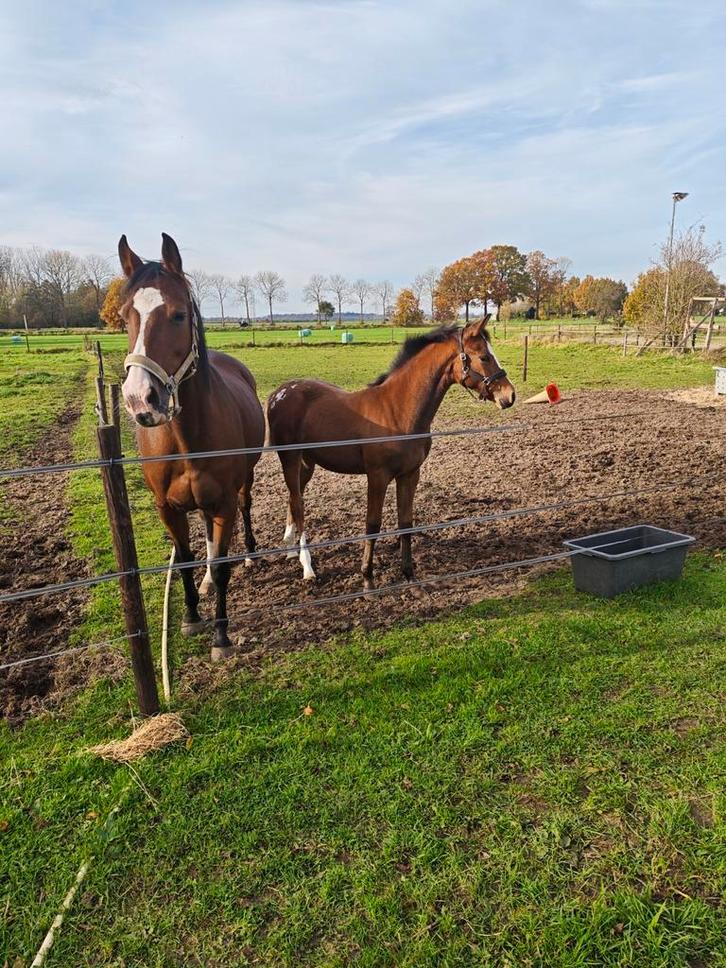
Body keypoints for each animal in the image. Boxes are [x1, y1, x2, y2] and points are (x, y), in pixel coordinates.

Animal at [118, 233, 265, 661]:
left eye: (179, 315)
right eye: (124, 317)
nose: (140, 399)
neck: (185, 441)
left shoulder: (224, 504)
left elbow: (221, 565)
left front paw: (221, 636)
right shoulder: (167, 508)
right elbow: (184, 562)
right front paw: (191, 617)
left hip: (244, 482)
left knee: (243, 514)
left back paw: (249, 554)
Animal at [266, 317, 515, 590]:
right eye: (484, 357)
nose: (509, 395)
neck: (397, 411)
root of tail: (279, 393)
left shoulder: (410, 474)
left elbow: (405, 523)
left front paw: (409, 575)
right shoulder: (378, 476)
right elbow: (373, 524)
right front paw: (368, 580)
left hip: (307, 463)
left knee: (294, 498)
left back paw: (291, 550)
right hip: (290, 459)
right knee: (299, 505)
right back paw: (307, 566)